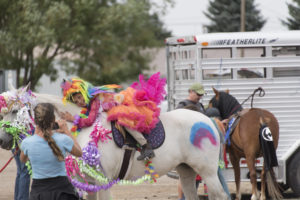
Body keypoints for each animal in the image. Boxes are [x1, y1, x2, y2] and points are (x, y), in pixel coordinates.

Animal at [0, 86, 230, 200]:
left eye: (14, 111)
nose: (3, 140)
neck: (83, 130)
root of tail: (207, 119)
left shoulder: (102, 181)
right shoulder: (89, 183)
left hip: (207, 172)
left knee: (219, 196)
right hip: (186, 171)